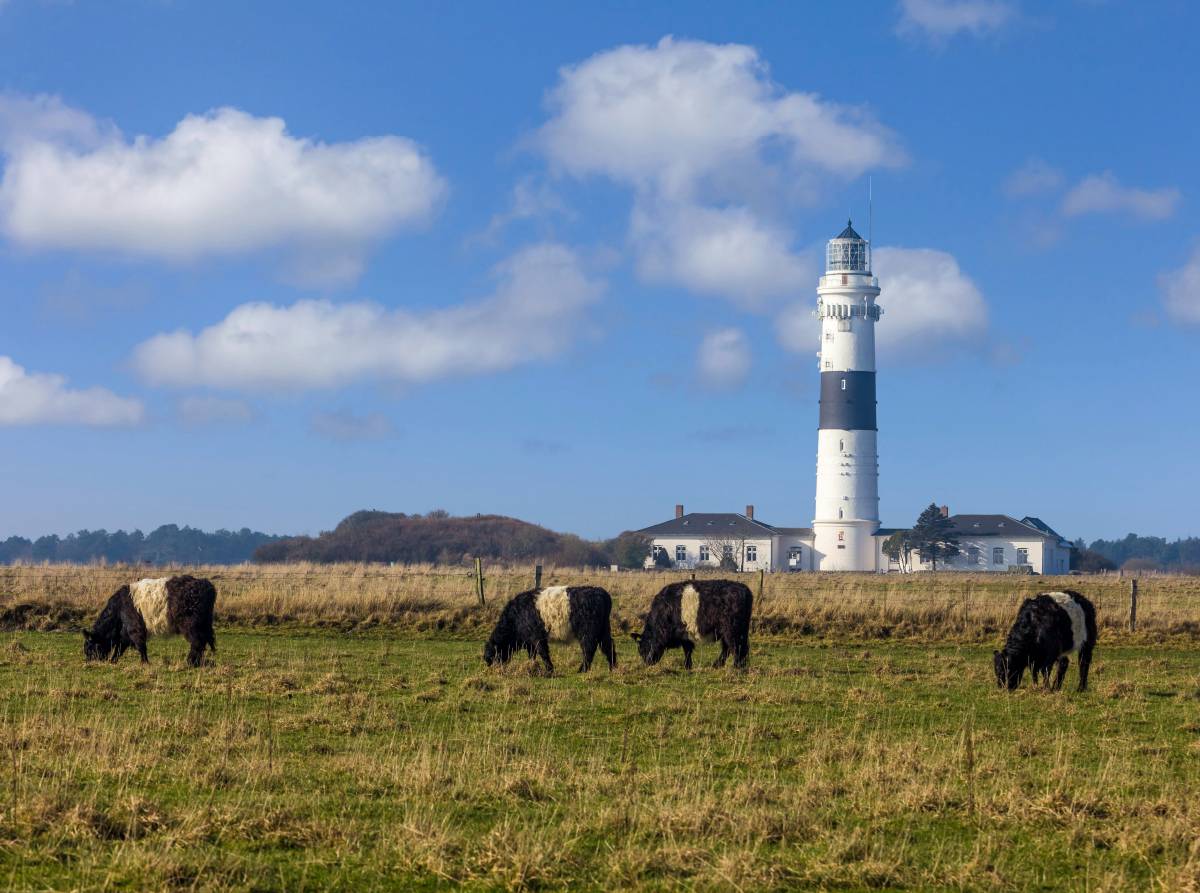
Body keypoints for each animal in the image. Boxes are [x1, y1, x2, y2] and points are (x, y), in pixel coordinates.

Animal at [83, 576, 219, 667]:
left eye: (89, 648)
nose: (88, 662)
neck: (117, 610)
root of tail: (205, 583)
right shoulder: (125, 634)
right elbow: (119, 649)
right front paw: (113, 661)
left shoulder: (135, 629)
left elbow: (141, 647)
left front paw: (145, 663)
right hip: (203, 624)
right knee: (201, 642)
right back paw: (196, 662)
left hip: (191, 625)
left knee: (197, 642)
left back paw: (191, 662)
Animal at [480, 583, 614, 672]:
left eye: (492, 656)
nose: (496, 669)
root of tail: (601, 592)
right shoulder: (529, 641)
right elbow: (532, 654)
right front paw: (532, 666)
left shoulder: (537, 636)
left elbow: (543, 652)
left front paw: (549, 669)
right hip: (603, 630)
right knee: (608, 646)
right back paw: (613, 667)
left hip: (587, 632)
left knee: (589, 649)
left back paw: (582, 670)